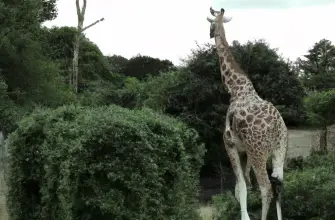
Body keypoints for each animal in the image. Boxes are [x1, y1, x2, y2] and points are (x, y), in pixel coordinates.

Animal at [207, 6, 288, 220]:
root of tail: (276, 127)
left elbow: (242, 185)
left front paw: (245, 216)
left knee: (266, 188)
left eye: (211, 24)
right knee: (278, 185)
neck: (236, 88)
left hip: (259, 151)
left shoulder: (230, 145)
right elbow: (241, 186)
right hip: (279, 149)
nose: (210, 33)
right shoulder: (245, 151)